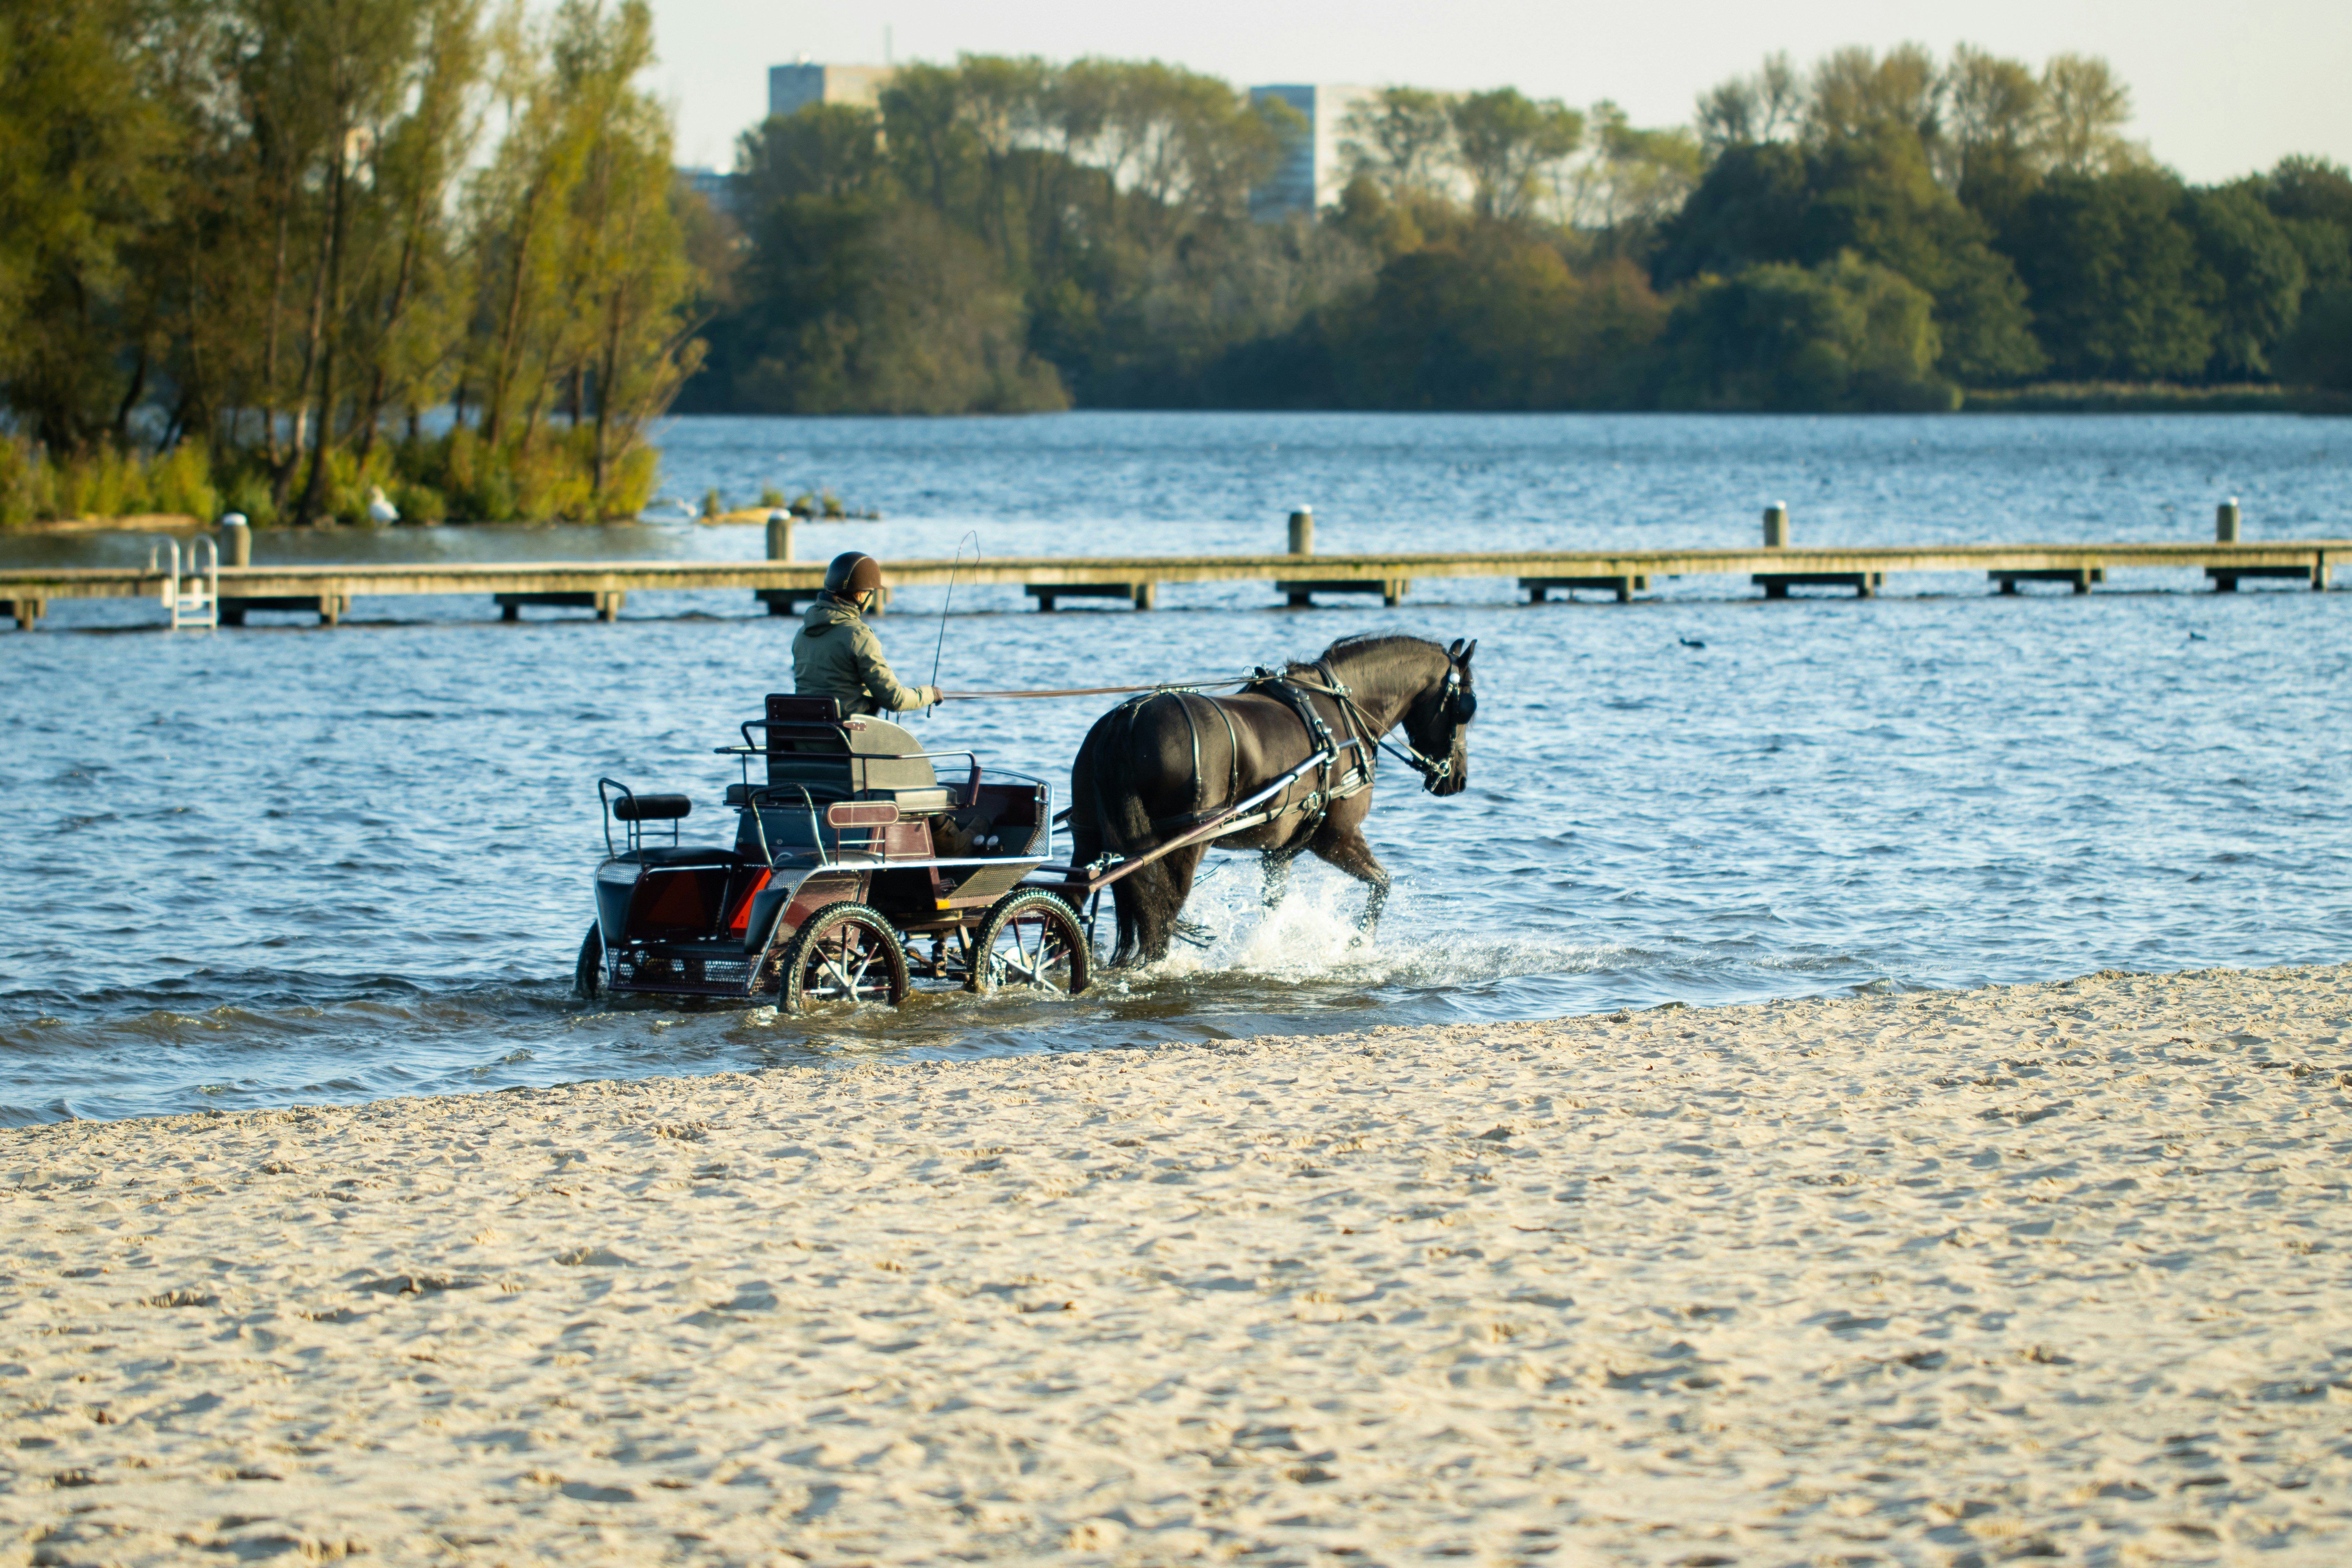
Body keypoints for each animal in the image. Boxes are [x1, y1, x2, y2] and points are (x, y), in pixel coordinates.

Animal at [1068, 634, 1478, 967]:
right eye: (1466, 707)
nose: (1457, 778)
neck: (1341, 714)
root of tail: (1128, 717)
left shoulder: (1281, 850)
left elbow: (1272, 906)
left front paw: (1262, 952)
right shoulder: (1337, 837)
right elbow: (1382, 885)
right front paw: (1357, 945)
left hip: (1088, 836)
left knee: (1075, 896)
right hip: (1183, 845)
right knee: (1159, 924)